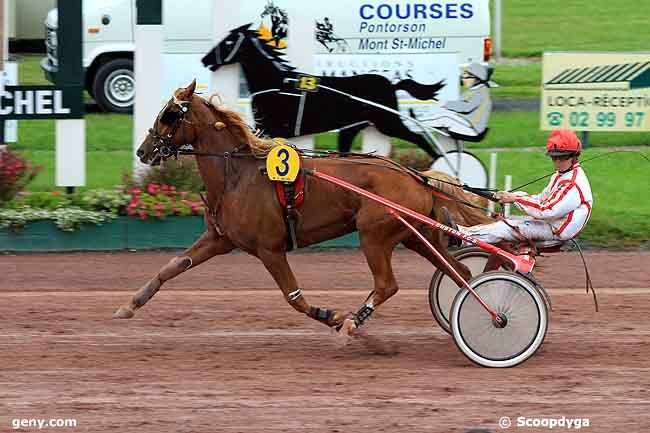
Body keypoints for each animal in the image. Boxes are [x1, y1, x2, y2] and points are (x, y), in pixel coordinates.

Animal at [112, 81, 492, 336]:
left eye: (169, 115)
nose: (143, 151)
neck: (238, 175)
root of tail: (417, 177)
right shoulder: (220, 238)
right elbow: (173, 266)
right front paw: (129, 305)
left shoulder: (270, 249)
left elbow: (293, 297)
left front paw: (332, 316)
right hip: (415, 235)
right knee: (461, 272)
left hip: (374, 235)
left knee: (387, 285)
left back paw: (354, 321)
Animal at [202, 24, 446, 158]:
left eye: (229, 41)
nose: (205, 59)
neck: (277, 84)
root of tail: (390, 83)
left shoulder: (269, 127)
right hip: (351, 128)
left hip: (388, 121)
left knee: (420, 137)